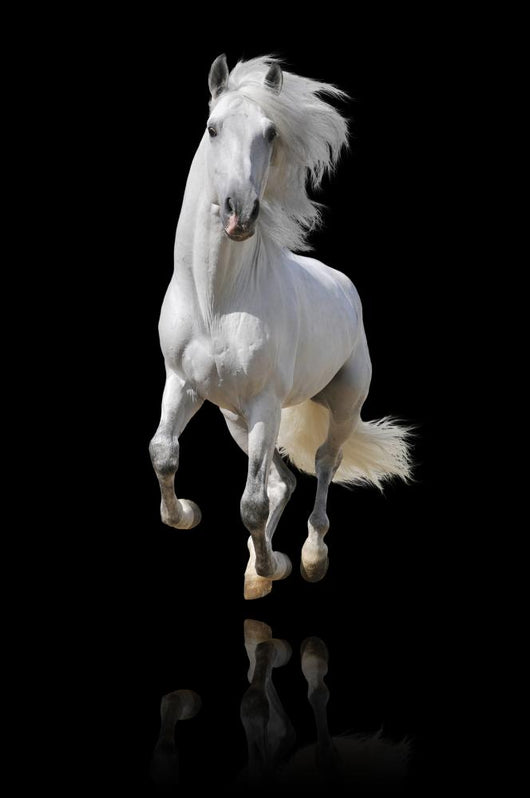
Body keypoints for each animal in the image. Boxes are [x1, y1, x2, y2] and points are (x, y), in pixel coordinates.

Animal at [149, 55, 412, 600]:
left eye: (270, 133)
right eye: (212, 128)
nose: (239, 215)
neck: (217, 301)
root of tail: (345, 286)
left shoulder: (265, 403)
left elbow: (250, 504)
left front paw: (279, 566)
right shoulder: (182, 383)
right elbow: (163, 452)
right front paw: (187, 515)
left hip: (338, 407)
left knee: (323, 467)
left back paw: (309, 560)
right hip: (235, 418)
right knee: (282, 482)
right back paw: (256, 571)